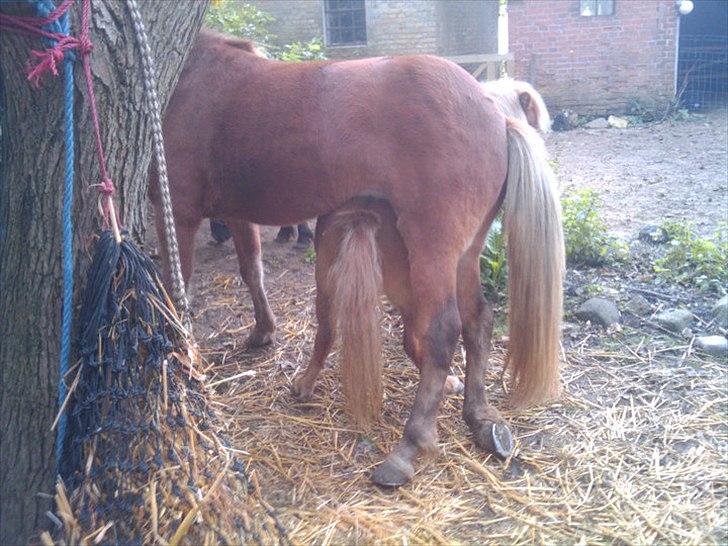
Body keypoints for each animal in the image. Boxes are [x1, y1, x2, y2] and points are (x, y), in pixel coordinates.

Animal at [151, 30, 564, 484]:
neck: (189, 81)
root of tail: (495, 114)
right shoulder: (238, 214)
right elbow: (251, 270)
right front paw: (262, 331)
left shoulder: (178, 213)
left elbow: (176, 288)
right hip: (462, 253)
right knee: (478, 320)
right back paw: (479, 416)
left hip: (432, 249)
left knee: (442, 331)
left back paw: (410, 445)